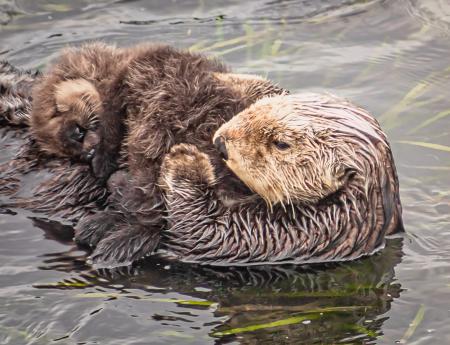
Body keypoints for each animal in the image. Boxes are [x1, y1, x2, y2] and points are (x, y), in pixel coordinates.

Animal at [159, 92, 404, 262]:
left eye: (281, 144)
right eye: (256, 106)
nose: (220, 143)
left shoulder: (287, 236)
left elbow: (203, 234)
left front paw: (186, 162)